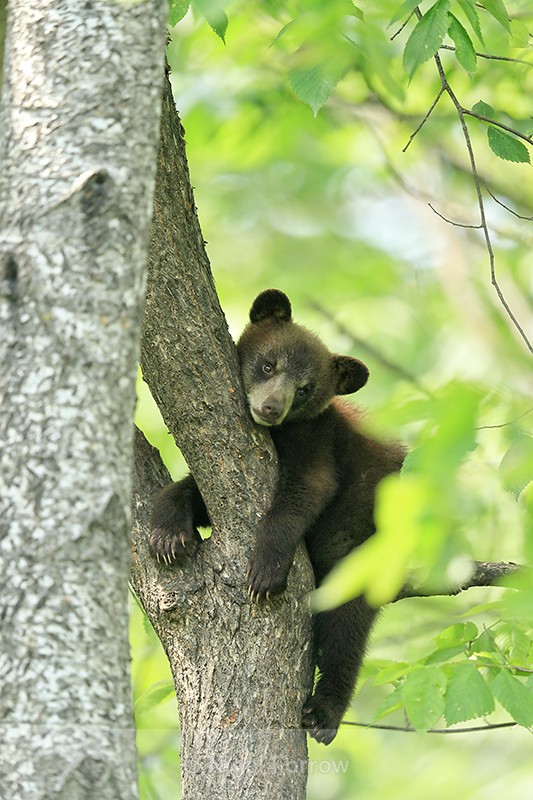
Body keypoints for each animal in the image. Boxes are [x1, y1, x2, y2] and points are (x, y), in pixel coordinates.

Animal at [150, 289, 405, 745]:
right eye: (268, 365)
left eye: (304, 389)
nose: (270, 407)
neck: (278, 433)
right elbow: (197, 492)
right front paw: (167, 532)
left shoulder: (315, 439)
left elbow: (306, 491)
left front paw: (265, 571)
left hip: (364, 552)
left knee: (346, 631)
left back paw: (324, 712)